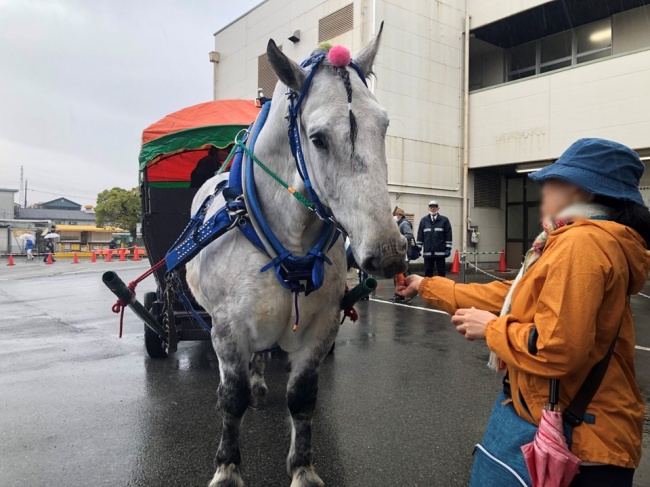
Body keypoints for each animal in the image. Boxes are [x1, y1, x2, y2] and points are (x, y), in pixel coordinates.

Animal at [185, 26, 402, 487]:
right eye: (317, 138)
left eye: (384, 126)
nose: (389, 254)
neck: (291, 245)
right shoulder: (226, 328)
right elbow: (232, 399)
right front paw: (227, 467)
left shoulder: (322, 327)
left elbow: (302, 400)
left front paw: (303, 468)